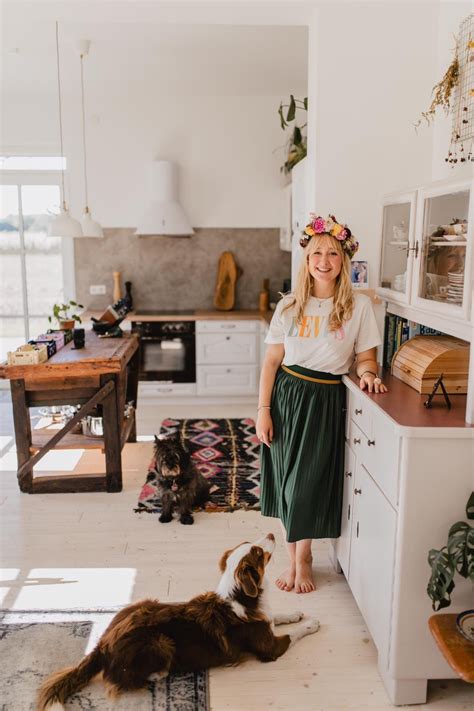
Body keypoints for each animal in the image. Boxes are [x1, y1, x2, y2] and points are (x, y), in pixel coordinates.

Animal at [37, 536, 318, 708]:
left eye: (252, 546)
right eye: (258, 552)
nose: (271, 533)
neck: (243, 595)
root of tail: (103, 643)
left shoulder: (267, 621)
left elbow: (278, 616)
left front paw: (296, 613)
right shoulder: (270, 648)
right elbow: (294, 634)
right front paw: (312, 623)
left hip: (141, 604)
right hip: (160, 642)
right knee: (125, 678)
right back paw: (160, 672)